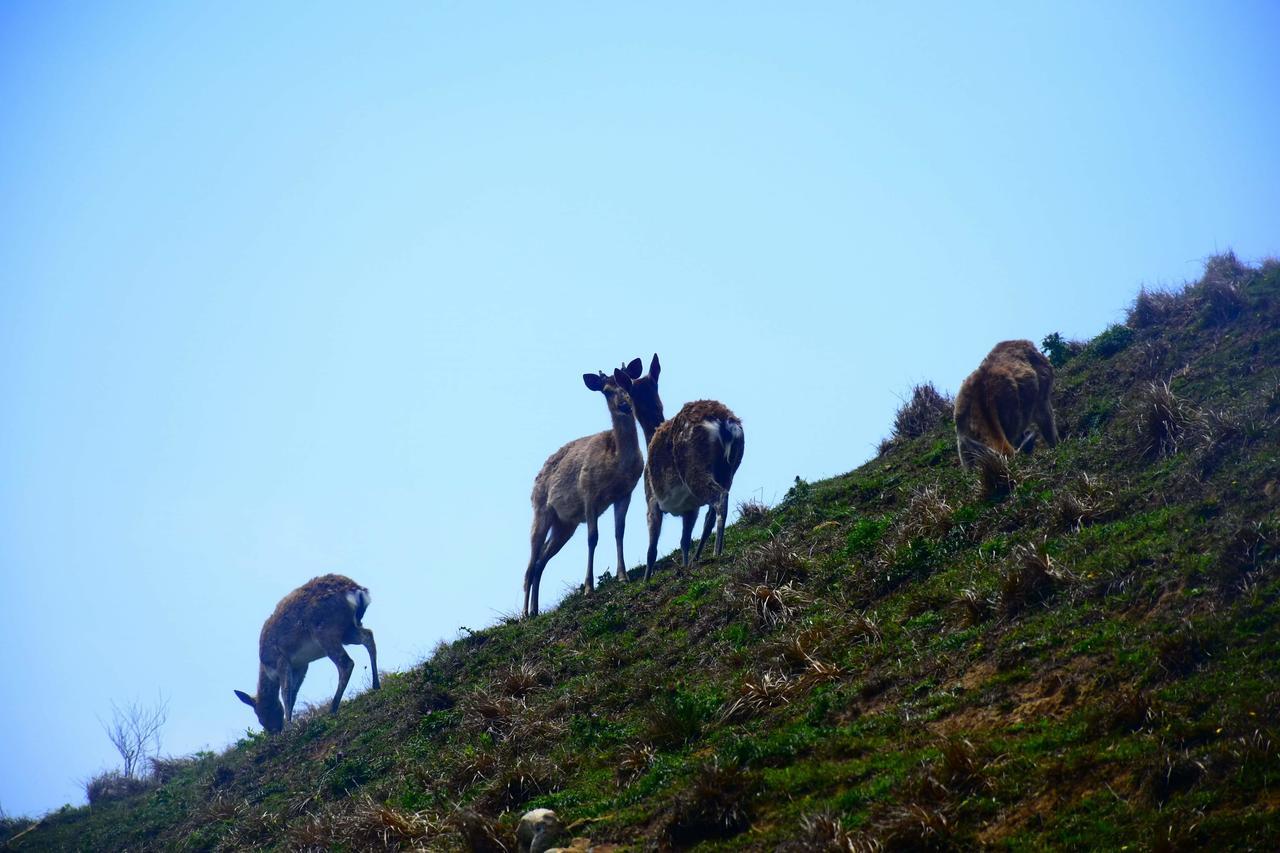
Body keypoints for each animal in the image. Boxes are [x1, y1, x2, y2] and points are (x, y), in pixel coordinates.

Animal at [234, 571, 376, 732]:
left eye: (262, 713)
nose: (273, 731)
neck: (267, 667)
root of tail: (357, 591)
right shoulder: (301, 665)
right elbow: (294, 693)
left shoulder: (281, 659)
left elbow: (286, 692)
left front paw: (289, 727)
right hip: (348, 630)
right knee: (368, 636)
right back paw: (376, 685)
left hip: (326, 631)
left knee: (346, 663)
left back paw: (333, 707)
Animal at [522, 361, 645, 617]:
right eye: (606, 390)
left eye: (628, 381)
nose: (624, 405)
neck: (618, 461)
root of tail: (535, 480)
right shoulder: (589, 492)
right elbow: (593, 537)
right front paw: (589, 587)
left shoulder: (625, 492)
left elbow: (620, 531)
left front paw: (623, 576)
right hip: (540, 511)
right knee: (529, 564)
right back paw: (524, 614)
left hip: (564, 525)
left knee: (540, 561)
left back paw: (536, 610)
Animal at [624, 350, 747, 578]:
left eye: (628, 394)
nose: (624, 405)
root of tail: (724, 424)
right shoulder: (690, 508)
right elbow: (684, 541)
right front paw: (686, 565)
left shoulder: (651, 500)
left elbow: (651, 549)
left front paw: (647, 579)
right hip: (731, 468)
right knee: (712, 510)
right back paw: (704, 554)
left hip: (693, 468)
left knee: (719, 498)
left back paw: (717, 551)